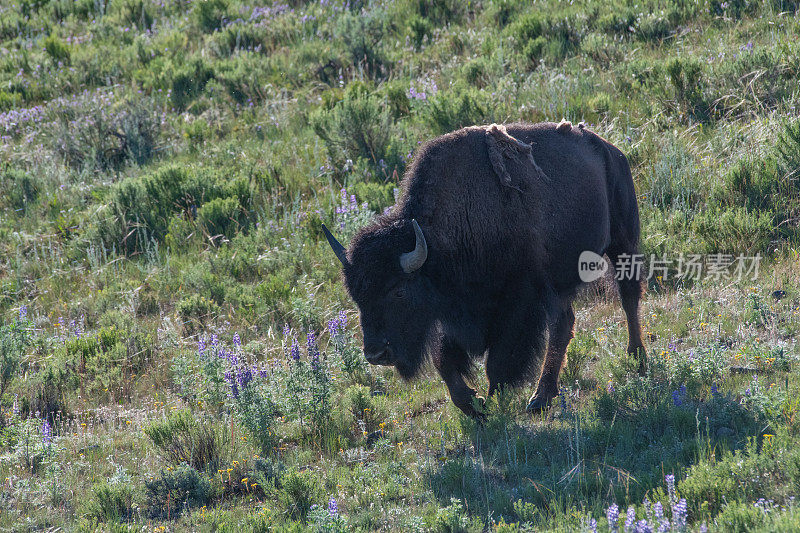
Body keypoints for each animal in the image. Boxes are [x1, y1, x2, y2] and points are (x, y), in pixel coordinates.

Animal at [322, 120, 648, 416]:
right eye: (357, 297)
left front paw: (492, 405)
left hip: (622, 242)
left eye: (399, 291)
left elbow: (498, 363)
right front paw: (474, 405)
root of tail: (610, 150)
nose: (376, 353)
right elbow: (444, 362)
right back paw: (542, 396)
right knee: (564, 323)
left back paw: (636, 361)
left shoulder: (518, 304)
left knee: (627, 297)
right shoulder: (452, 315)